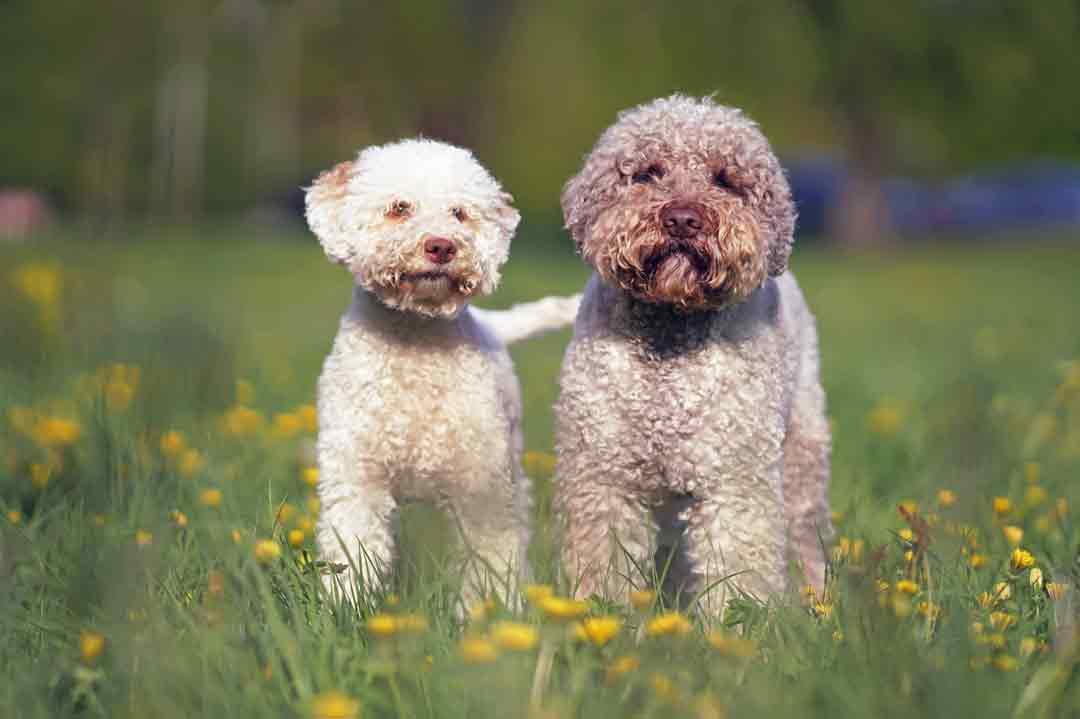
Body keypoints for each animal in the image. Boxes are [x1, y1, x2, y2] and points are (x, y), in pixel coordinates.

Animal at [300, 137, 578, 600]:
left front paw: (495, 610)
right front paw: (344, 605)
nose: (442, 246)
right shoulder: (357, 475)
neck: (416, 343)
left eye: (459, 213)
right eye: (399, 207)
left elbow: (490, 559)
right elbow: (352, 552)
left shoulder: (482, 485)